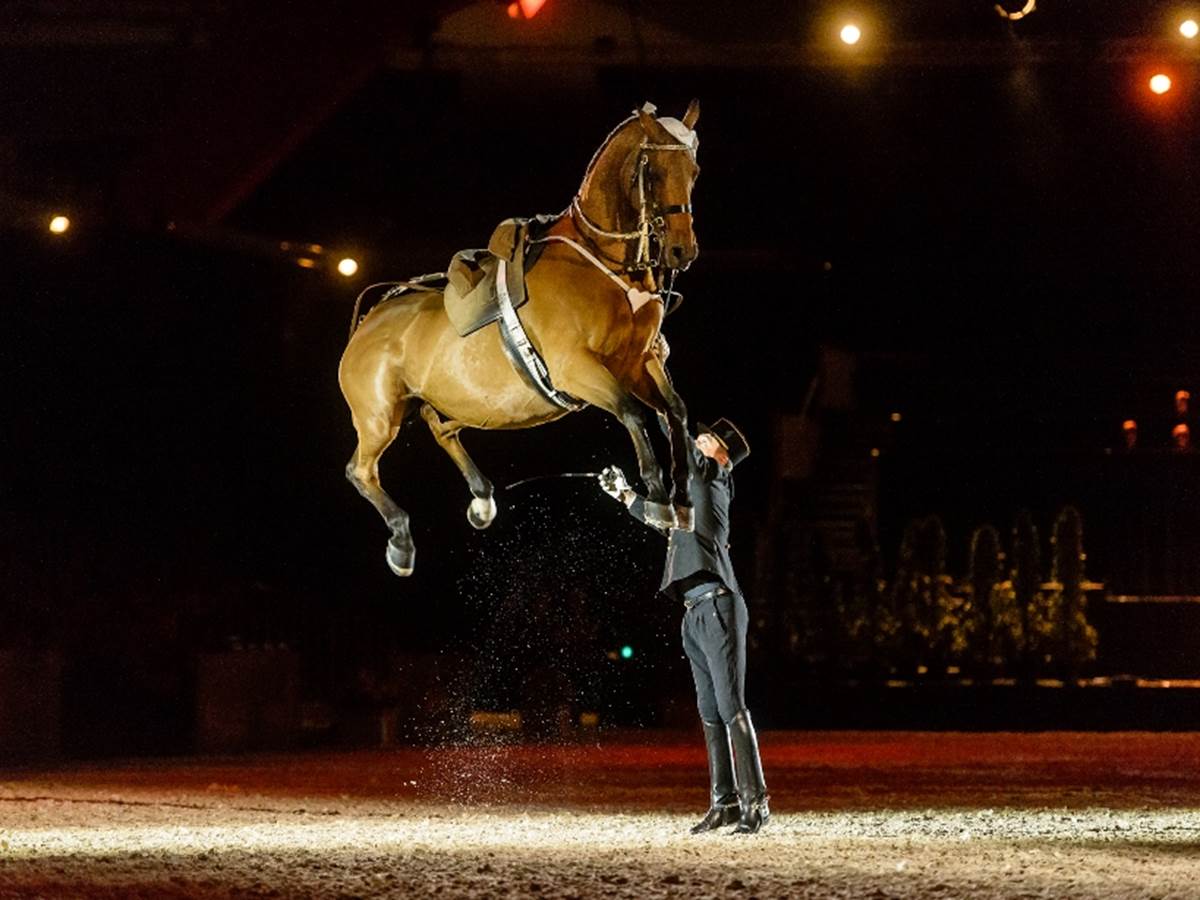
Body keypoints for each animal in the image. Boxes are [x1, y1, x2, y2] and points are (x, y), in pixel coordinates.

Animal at [338, 100, 700, 578]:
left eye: (694, 170)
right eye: (654, 172)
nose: (682, 252)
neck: (604, 264)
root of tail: (368, 320)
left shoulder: (640, 362)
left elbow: (674, 411)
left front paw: (683, 500)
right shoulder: (576, 368)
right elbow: (632, 413)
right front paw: (659, 501)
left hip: (436, 403)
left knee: (441, 429)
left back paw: (481, 499)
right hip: (380, 416)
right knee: (361, 471)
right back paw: (400, 540)